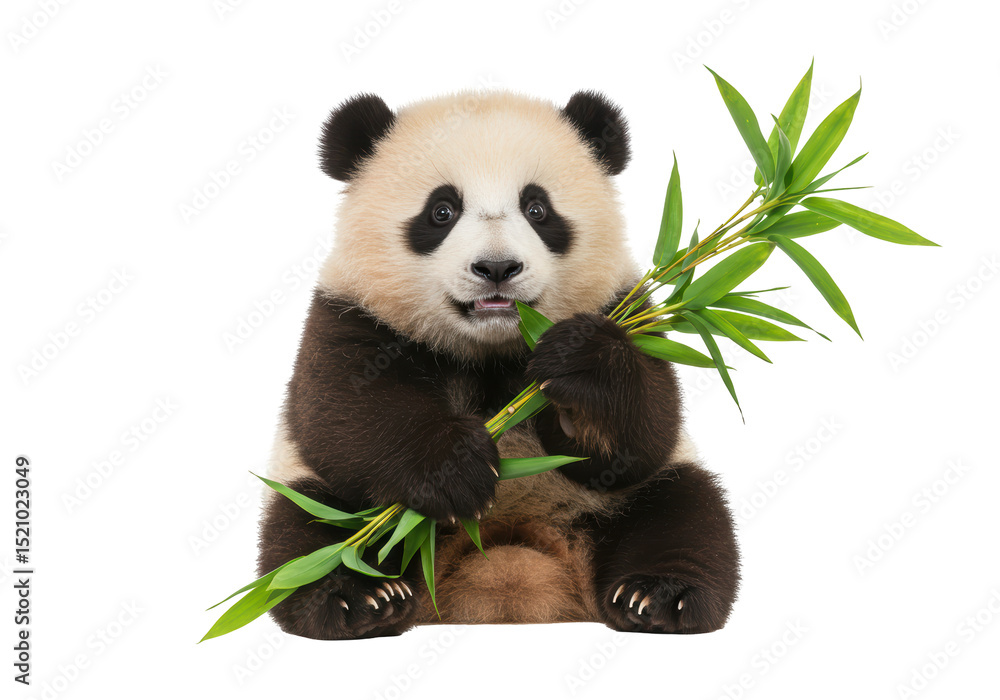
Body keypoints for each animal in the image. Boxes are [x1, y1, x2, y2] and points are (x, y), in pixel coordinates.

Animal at [258, 89, 740, 639]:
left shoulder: (624, 306)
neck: (492, 349)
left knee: (682, 512)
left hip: (628, 503)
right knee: (311, 534)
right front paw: (456, 469)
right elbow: (341, 414)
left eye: (537, 208)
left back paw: (657, 596)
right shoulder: (352, 314)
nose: (496, 268)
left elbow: (644, 433)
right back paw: (361, 598)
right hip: (340, 506)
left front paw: (581, 364)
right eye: (442, 210)